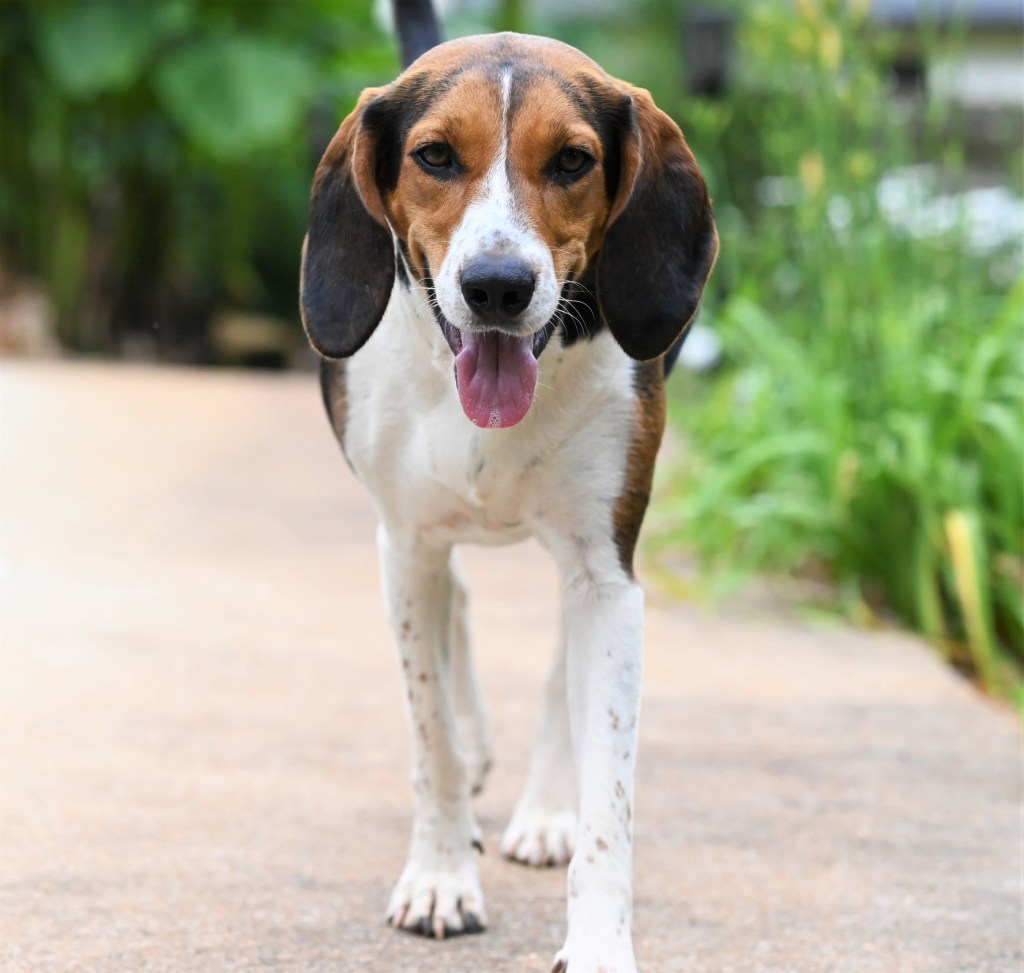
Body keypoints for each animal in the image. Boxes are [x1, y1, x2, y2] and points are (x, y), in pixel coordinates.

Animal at [299, 3, 716, 970]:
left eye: (570, 161)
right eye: (434, 156)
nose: (497, 286)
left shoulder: (607, 574)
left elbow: (610, 789)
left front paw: (597, 936)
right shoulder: (405, 543)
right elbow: (431, 734)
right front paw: (441, 874)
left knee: (561, 668)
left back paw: (545, 808)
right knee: (455, 613)